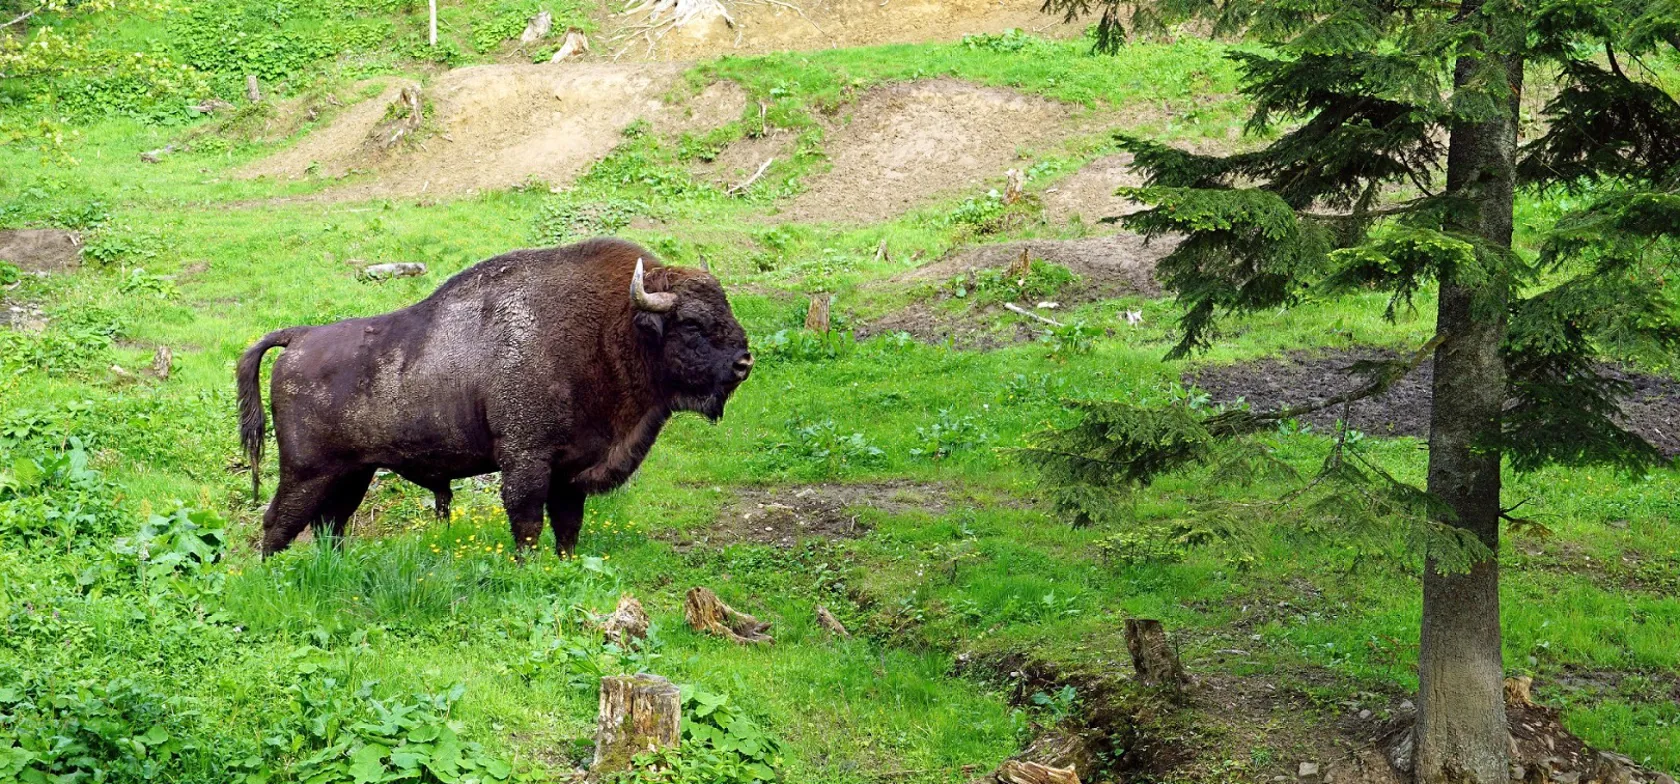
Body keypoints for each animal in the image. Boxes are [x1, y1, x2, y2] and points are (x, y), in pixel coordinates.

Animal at [238, 240, 756, 557]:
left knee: (330, 525)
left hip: (352, 473)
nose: (744, 362)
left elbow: (568, 526)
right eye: (691, 324)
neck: (612, 329)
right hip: (306, 472)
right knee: (277, 524)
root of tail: (299, 337)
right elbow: (526, 522)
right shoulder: (527, 459)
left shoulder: (570, 471)